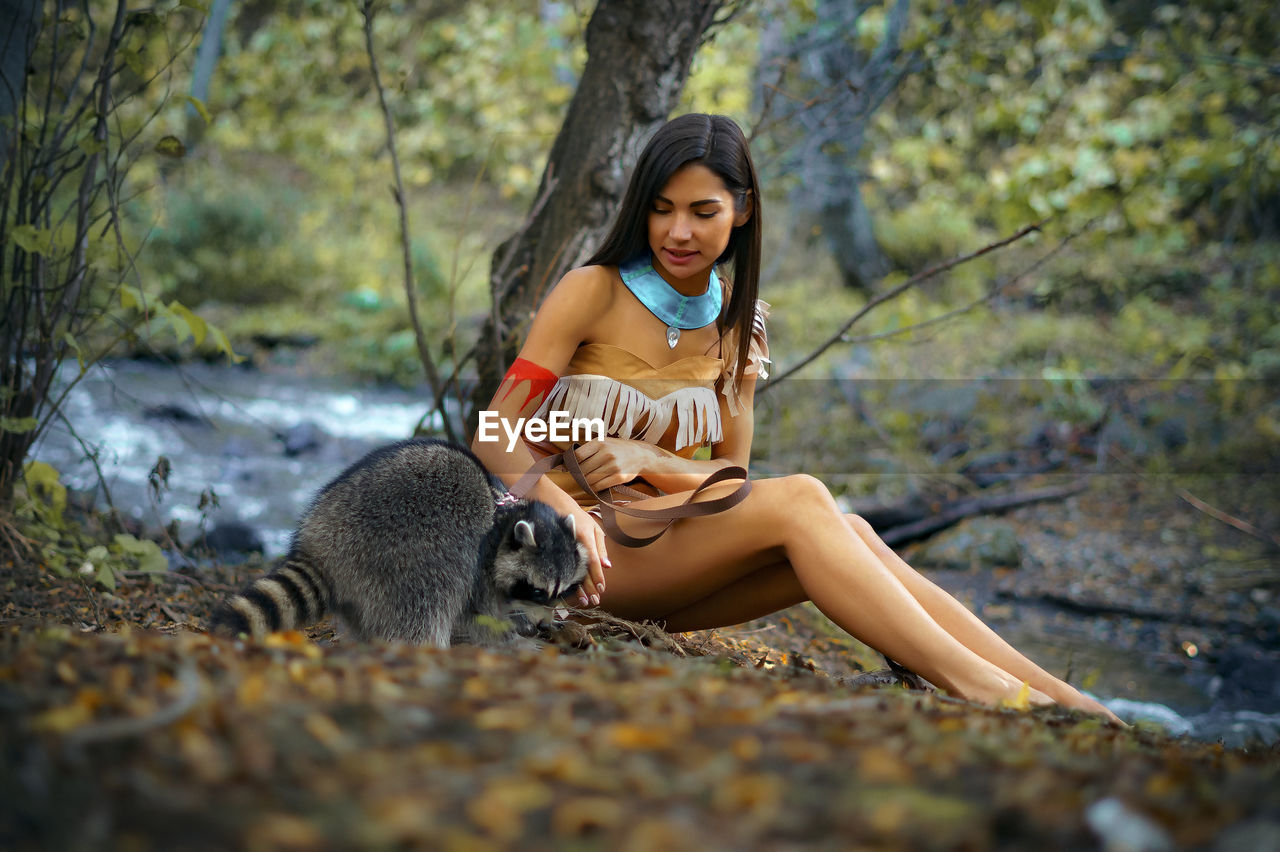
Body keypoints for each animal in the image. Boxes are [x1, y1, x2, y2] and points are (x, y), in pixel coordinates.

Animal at [211, 437, 588, 644]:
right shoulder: (479, 562)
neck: (504, 517)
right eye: (536, 589)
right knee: (429, 600)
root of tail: (321, 547)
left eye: (562, 591)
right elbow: (479, 612)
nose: (543, 625)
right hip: (406, 550)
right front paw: (511, 631)